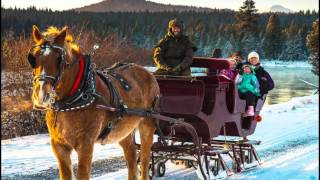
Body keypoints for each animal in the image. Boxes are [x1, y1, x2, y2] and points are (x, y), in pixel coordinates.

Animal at [28, 25, 160, 180]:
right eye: (33, 58)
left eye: (59, 59)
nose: (41, 94)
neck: (75, 97)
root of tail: (147, 73)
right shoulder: (59, 146)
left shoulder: (86, 145)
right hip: (124, 130)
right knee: (131, 155)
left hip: (147, 124)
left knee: (144, 159)